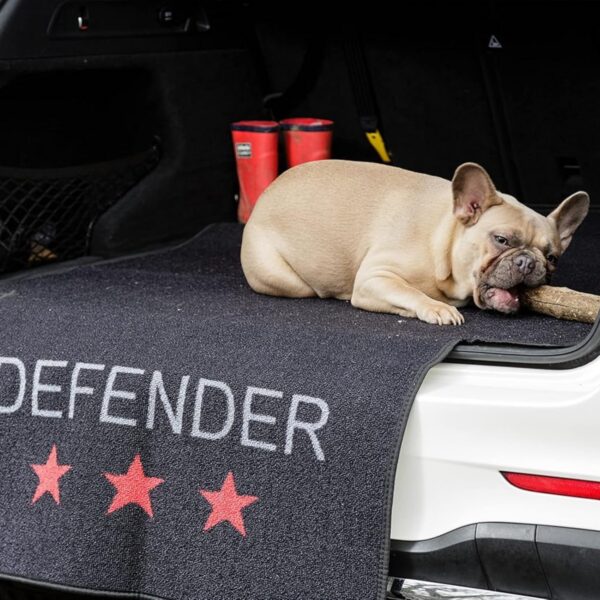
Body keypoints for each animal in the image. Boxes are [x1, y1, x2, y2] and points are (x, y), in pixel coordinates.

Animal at [241, 160, 589, 325]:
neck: (443, 239)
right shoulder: (375, 278)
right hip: (286, 280)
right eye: (501, 240)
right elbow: (410, 292)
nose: (528, 261)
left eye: (552, 257)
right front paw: (437, 308)